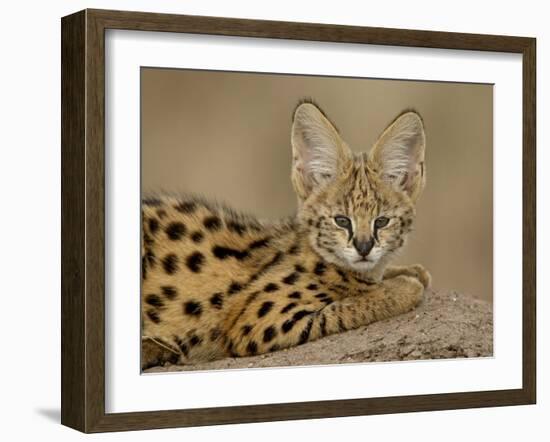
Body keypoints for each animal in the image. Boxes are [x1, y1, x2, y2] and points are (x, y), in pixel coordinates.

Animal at [141, 100, 432, 370]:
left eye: (381, 221)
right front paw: (403, 286)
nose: (364, 247)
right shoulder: (258, 322)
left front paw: (410, 271)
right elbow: (347, 307)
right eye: (341, 221)